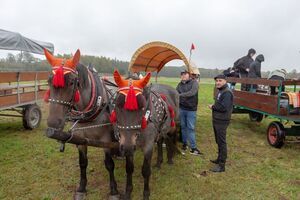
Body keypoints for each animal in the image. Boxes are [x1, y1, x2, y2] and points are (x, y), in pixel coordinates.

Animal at [43, 48, 120, 200]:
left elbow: (109, 164)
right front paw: (81, 188)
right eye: (49, 81)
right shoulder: (80, 139)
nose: (53, 122)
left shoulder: (105, 139)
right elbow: (83, 163)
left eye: (72, 82)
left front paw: (113, 190)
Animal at [110, 69, 179, 199]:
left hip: (173, 126)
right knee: (161, 141)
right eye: (117, 105)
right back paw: (159, 162)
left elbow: (146, 171)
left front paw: (146, 193)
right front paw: (128, 192)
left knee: (170, 138)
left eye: (142, 107)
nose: (127, 146)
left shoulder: (148, 146)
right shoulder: (129, 146)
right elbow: (129, 168)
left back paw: (170, 158)